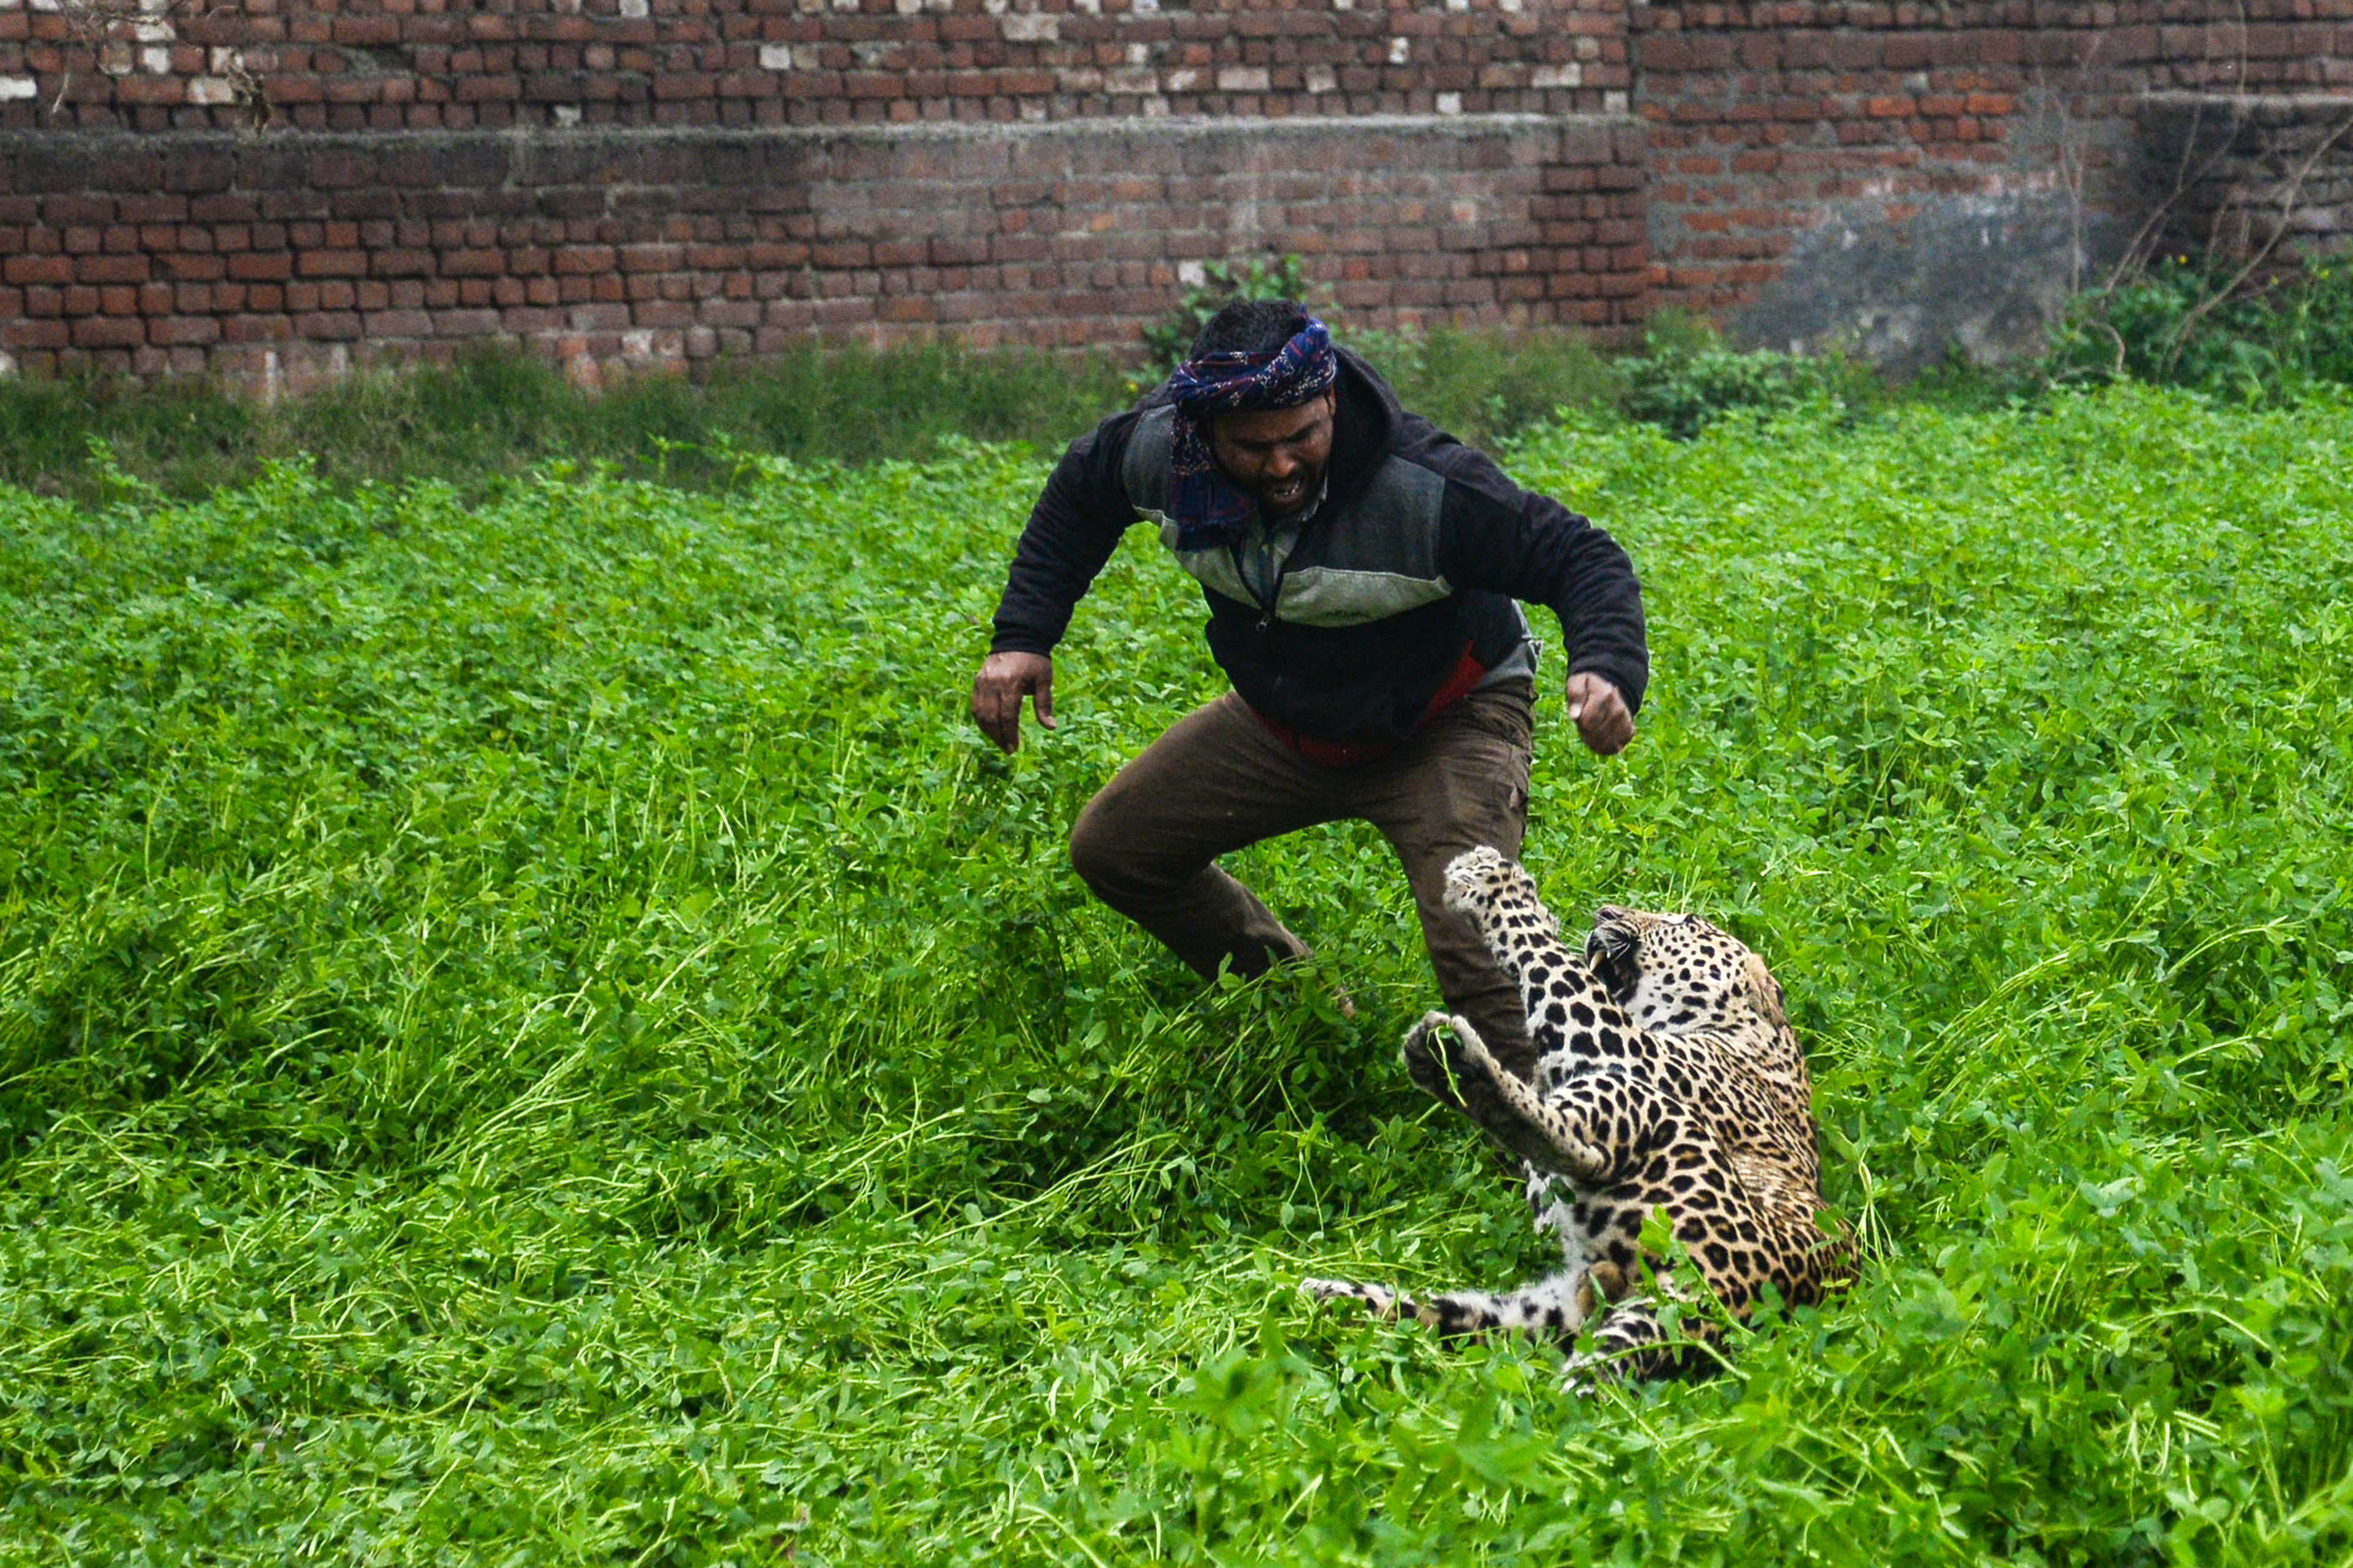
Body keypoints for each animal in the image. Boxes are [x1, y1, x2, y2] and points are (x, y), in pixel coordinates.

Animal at [1299, 848, 1845, 1374]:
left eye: (1688, 921)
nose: (1606, 912)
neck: (1755, 1033)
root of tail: (1716, 1300)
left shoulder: (1626, 1045)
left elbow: (1557, 964)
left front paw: (1497, 885)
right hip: (1543, 1317)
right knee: (1462, 1318)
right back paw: (1332, 1294)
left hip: (1650, 1116)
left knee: (1579, 1145)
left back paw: (1452, 1063)